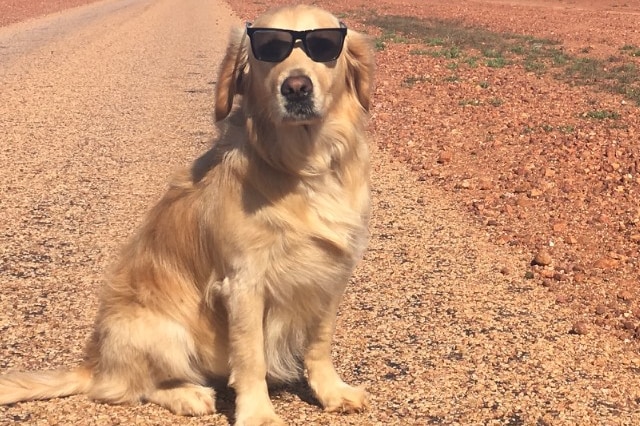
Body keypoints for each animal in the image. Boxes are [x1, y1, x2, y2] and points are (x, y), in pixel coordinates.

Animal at [0, 4, 376, 426]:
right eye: (269, 50)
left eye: (324, 45)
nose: (296, 87)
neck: (305, 166)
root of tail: (94, 363)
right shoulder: (244, 282)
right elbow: (251, 357)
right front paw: (258, 414)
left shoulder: (331, 273)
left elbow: (319, 343)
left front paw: (332, 392)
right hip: (161, 330)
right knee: (125, 389)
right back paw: (188, 395)